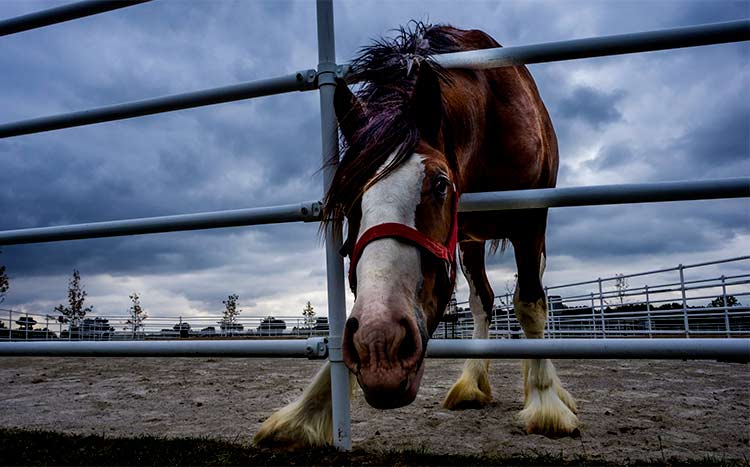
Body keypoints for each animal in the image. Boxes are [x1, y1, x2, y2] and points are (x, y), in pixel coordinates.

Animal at [256, 22, 580, 450]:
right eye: (346, 195)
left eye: (440, 183)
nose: (381, 346)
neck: (492, 115)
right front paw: (306, 412)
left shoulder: (530, 219)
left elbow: (530, 305)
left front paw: (546, 404)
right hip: (469, 242)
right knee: (482, 301)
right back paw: (471, 383)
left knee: (529, 295)